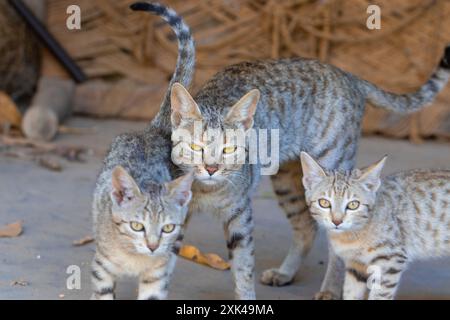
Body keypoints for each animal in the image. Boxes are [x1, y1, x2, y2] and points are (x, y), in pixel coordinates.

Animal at [91, 1, 195, 300]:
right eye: (137, 226)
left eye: (167, 227)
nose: (152, 245)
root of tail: (153, 130)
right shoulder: (101, 267)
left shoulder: (155, 276)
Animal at [298, 152, 450, 300]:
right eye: (324, 203)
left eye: (353, 205)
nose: (337, 221)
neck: (349, 236)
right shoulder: (355, 264)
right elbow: (350, 292)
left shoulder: (391, 259)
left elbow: (380, 295)